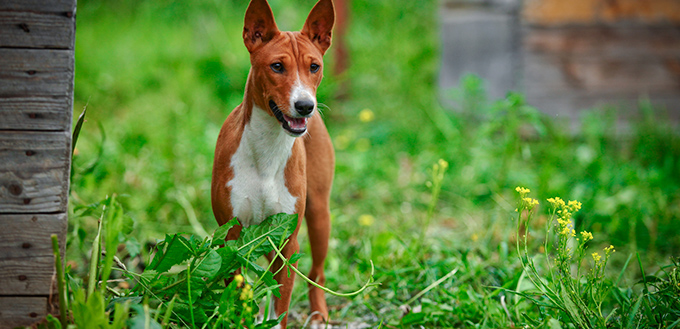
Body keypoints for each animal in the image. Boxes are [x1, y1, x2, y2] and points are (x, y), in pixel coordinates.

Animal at [209, 0, 334, 324]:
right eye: (277, 66)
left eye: (314, 66)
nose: (305, 106)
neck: (268, 150)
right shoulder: (232, 239)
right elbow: (239, 294)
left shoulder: (287, 242)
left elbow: (282, 303)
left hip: (318, 214)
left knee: (317, 273)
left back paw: (319, 315)